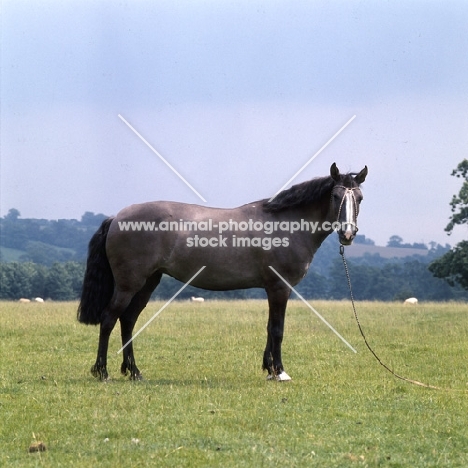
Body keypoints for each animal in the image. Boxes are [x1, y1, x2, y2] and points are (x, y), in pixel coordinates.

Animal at [78, 163, 368, 382]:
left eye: (359, 198)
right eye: (335, 196)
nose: (348, 234)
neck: (287, 223)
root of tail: (116, 218)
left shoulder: (272, 289)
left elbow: (268, 327)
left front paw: (269, 369)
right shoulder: (279, 287)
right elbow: (277, 329)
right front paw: (280, 372)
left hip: (149, 282)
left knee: (128, 321)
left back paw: (134, 371)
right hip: (129, 283)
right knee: (109, 319)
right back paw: (102, 371)